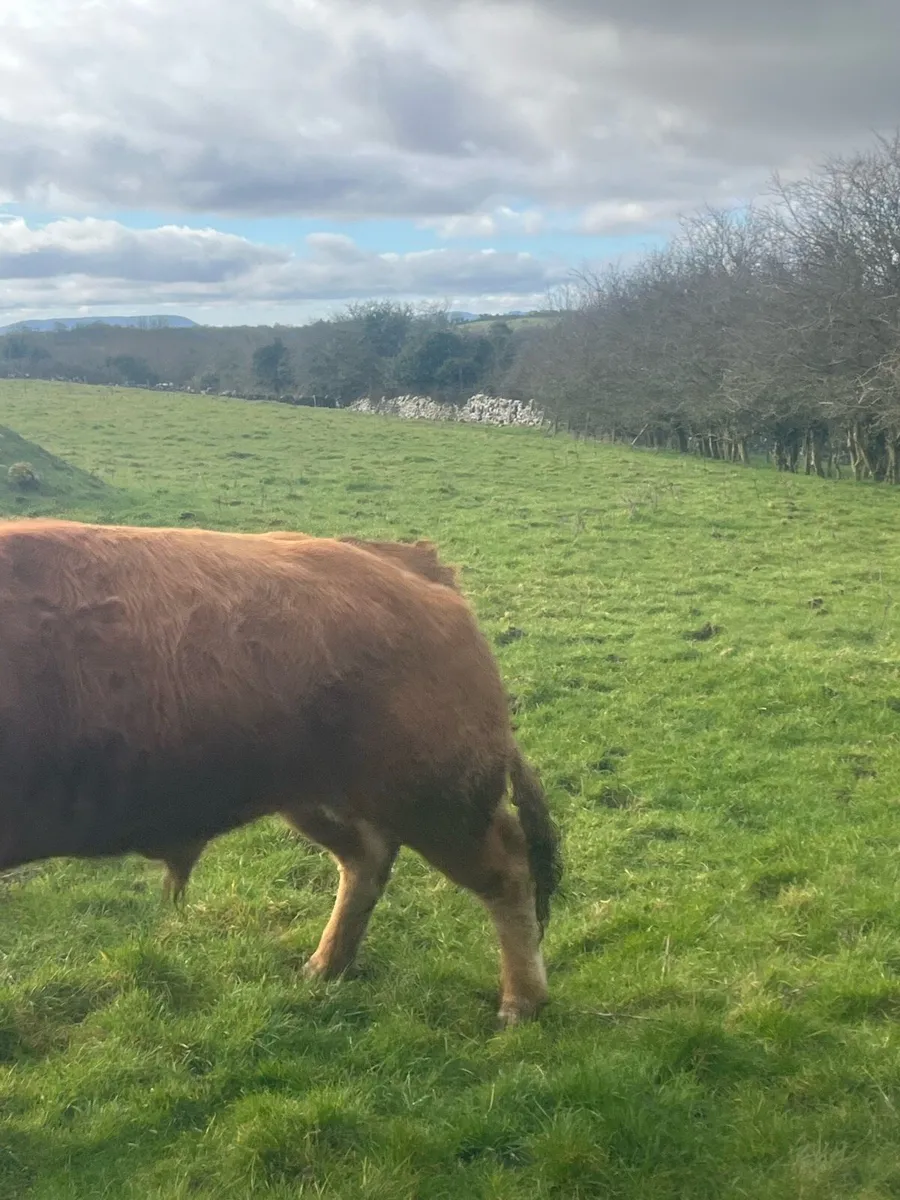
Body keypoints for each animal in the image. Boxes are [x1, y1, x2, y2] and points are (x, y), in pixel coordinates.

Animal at [0, 518, 561, 1026]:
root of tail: (409, 565)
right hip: (319, 798)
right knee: (367, 859)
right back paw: (325, 966)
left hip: (435, 802)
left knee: (508, 872)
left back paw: (520, 1003)